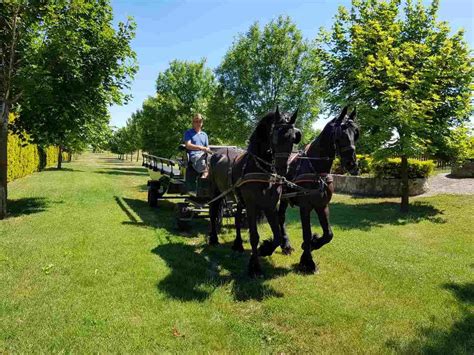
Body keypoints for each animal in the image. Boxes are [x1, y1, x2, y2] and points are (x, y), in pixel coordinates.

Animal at [209, 108, 302, 278]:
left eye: (294, 138)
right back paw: (213, 239)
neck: (261, 169)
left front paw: (265, 249)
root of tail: (216, 153)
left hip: (239, 199)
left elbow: (277, 236)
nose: (282, 169)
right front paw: (255, 267)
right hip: (215, 191)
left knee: (237, 218)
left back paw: (238, 244)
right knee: (213, 213)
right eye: (274, 135)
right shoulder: (252, 205)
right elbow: (254, 236)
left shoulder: (270, 205)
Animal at [278, 107, 360, 274]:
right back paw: (285, 245)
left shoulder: (322, 205)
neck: (316, 169)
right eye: (340, 135)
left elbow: (328, 234)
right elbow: (306, 232)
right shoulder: (305, 207)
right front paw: (308, 261)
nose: (352, 164)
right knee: (280, 217)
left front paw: (313, 244)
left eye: (356, 133)